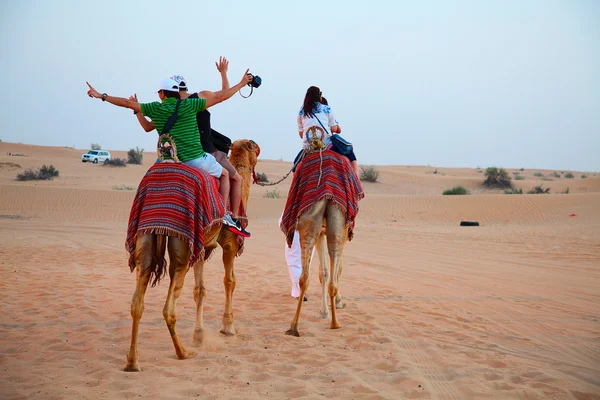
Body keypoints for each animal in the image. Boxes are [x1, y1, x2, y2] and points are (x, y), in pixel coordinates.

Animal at [124, 140, 258, 372]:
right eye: (255, 148)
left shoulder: (201, 248)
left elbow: (200, 290)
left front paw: (200, 335)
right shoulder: (229, 243)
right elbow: (230, 281)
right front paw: (228, 327)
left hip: (146, 241)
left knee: (137, 303)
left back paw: (133, 362)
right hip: (181, 251)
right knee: (168, 308)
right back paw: (183, 353)